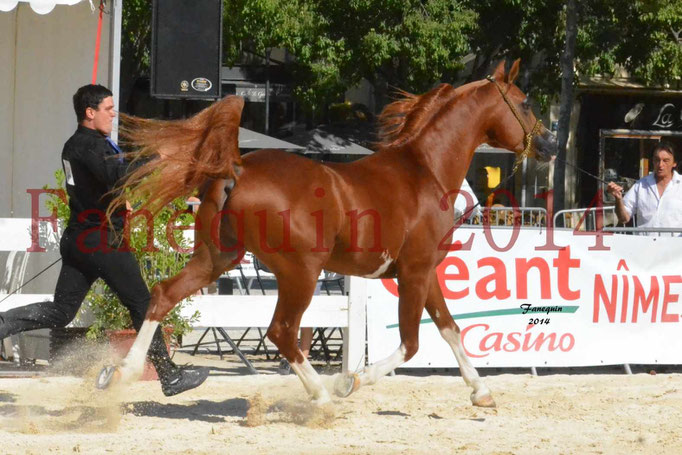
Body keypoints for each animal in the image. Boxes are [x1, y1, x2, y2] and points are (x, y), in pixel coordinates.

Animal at [107, 59, 552, 406]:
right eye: (526, 103)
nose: (547, 143)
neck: (425, 170)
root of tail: (239, 167)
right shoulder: (414, 273)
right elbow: (411, 343)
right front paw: (349, 382)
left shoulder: (425, 273)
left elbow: (450, 329)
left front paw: (481, 392)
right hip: (300, 273)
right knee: (282, 332)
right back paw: (322, 397)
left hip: (215, 259)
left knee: (162, 296)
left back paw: (125, 372)